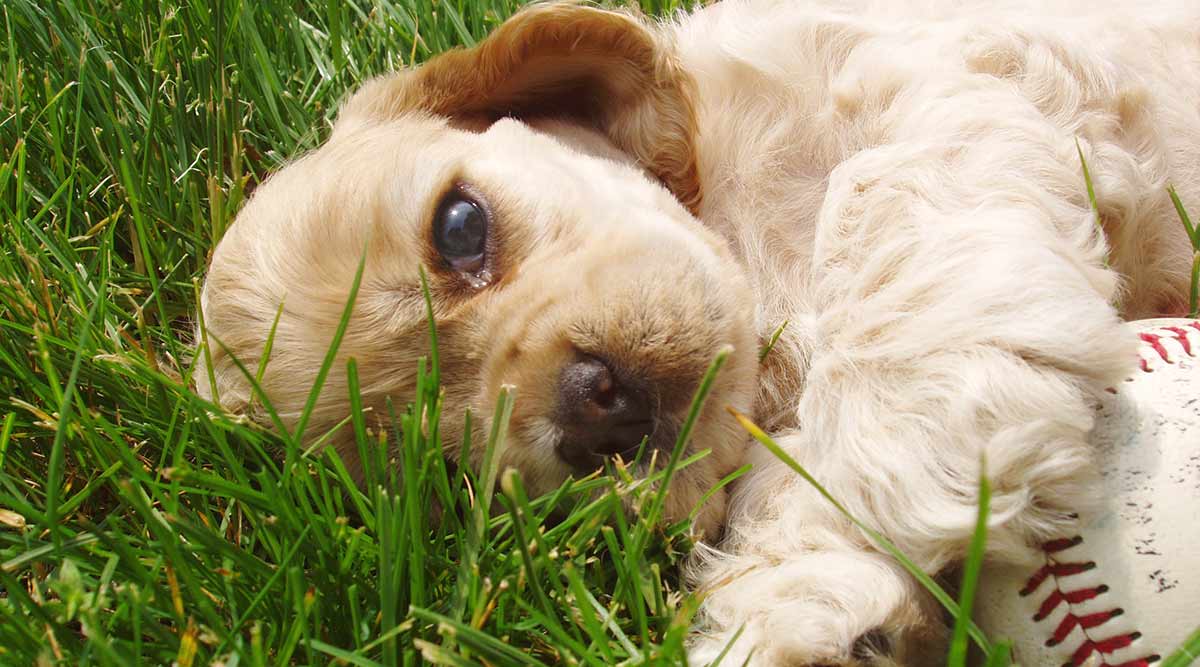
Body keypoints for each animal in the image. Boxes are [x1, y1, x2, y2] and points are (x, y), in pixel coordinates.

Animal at [199, 2, 1200, 662]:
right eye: (452, 476)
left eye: (459, 227)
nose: (588, 410)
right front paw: (809, 602)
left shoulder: (945, 66)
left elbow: (879, 194)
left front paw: (910, 452)